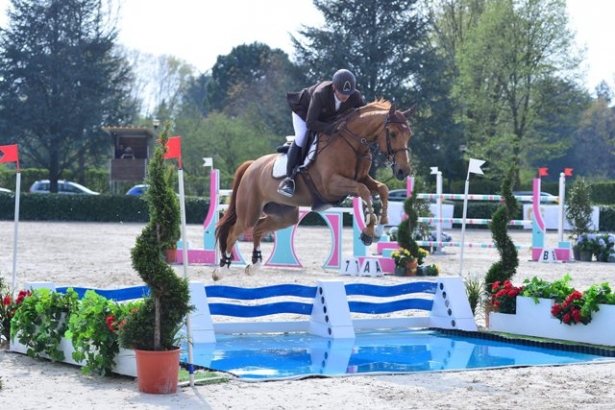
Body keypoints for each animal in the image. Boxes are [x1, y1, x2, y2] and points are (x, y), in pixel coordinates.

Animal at [214, 99, 416, 280]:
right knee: (233, 233)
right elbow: (364, 191)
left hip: (285, 215)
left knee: (258, 229)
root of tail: (251, 166)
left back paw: (254, 265)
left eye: (409, 135)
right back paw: (221, 270)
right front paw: (368, 232)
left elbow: (383, 189)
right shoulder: (332, 185)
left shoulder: (363, 179)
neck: (353, 144)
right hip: (249, 213)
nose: (403, 171)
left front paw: (380, 229)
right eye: (392, 133)